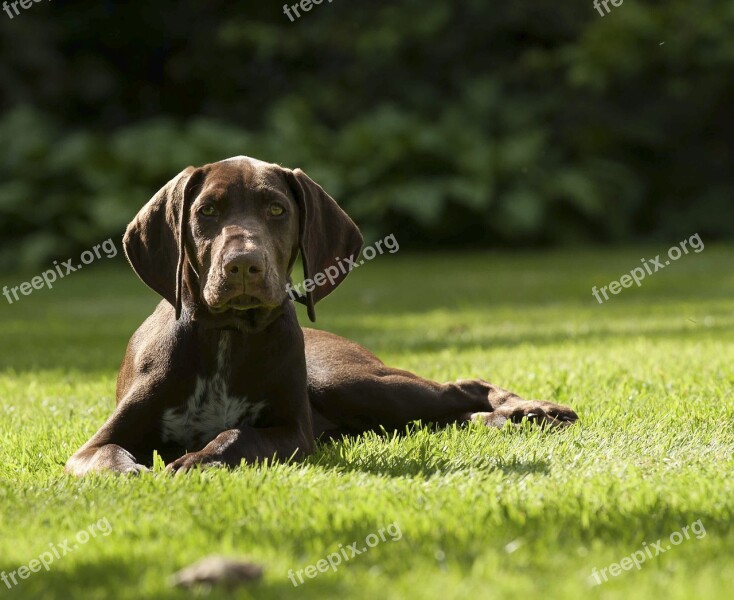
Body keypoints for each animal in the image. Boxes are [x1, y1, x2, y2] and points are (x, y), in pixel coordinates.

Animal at [64, 157, 580, 476]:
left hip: (350, 382)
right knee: (448, 413)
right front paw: (131, 471)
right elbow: (106, 456)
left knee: (461, 388)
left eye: (277, 209)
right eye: (207, 211)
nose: (243, 265)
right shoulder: (93, 444)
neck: (227, 336)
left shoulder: (293, 432)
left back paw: (534, 410)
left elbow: (236, 435)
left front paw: (194, 460)